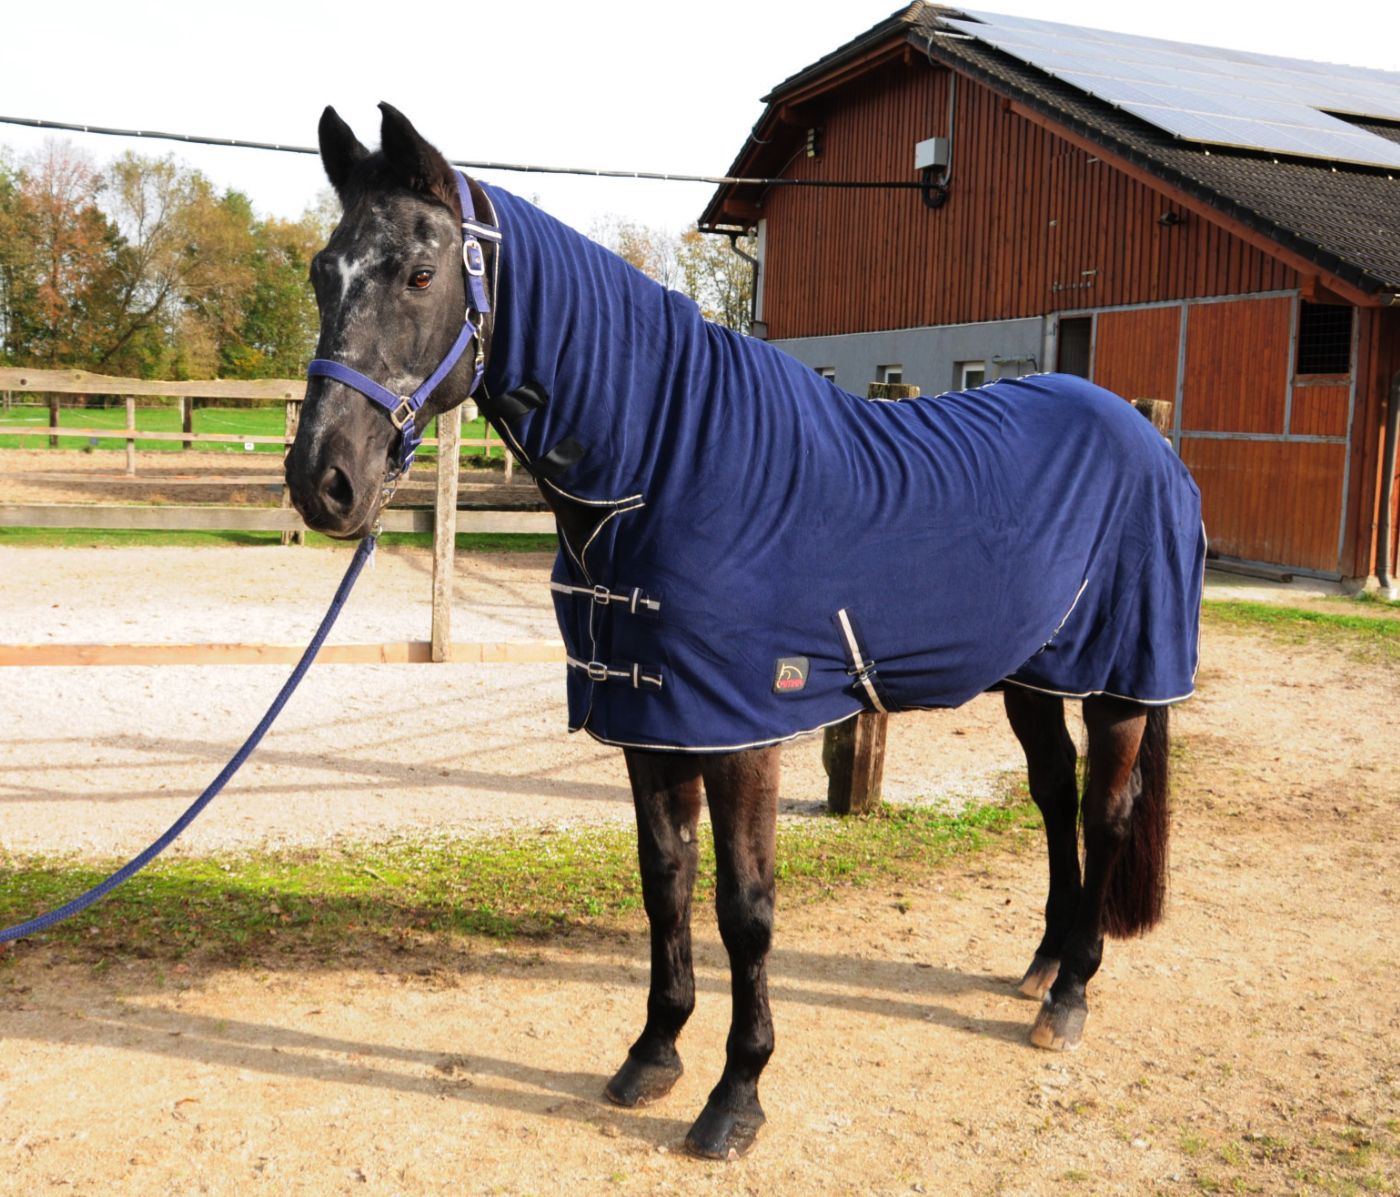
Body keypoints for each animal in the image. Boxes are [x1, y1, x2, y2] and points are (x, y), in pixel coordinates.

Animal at [284, 103, 1204, 1160]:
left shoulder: (741, 730)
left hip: (1122, 681)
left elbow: (745, 909)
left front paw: (737, 1094)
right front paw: (654, 1052)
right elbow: (665, 881)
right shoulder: (652, 724)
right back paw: (1043, 964)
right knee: (1055, 797)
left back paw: (1071, 996)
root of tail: (1146, 434)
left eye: (421, 273)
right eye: (322, 271)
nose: (323, 480)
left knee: (1105, 810)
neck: (665, 466)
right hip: (1032, 676)